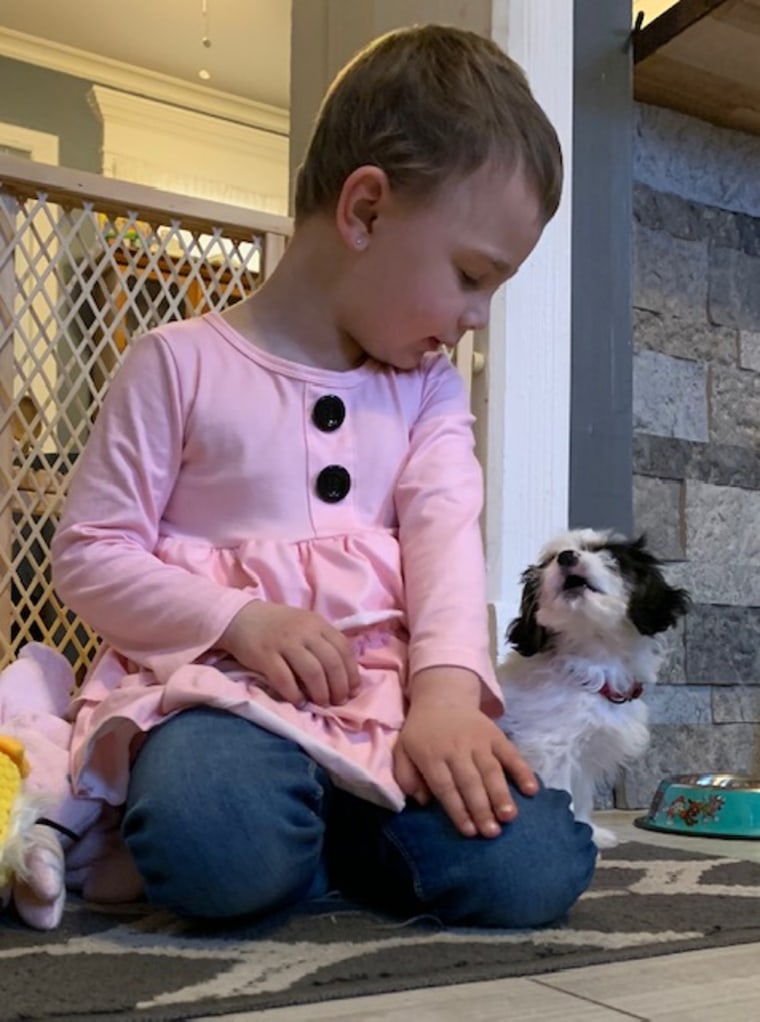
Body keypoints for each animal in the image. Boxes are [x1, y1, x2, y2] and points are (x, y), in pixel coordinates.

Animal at [498, 527, 690, 846]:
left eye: (608, 554)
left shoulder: (583, 758)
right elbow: (562, 796)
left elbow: (581, 796)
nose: (566, 556)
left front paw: (589, 832)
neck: (591, 666)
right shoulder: (549, 750)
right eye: (550, 559)